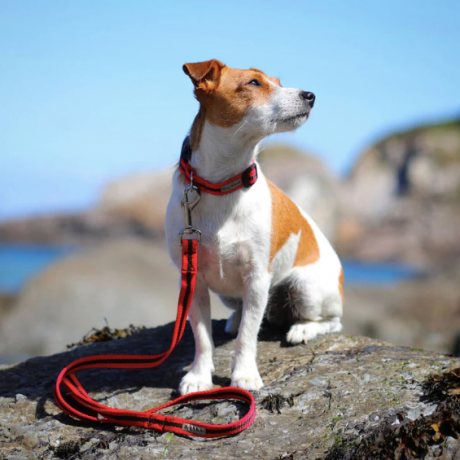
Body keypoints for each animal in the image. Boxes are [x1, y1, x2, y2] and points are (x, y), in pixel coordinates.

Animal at [164, 59, 342, 394]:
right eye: (254, 83)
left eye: (278, 82)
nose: (310, 95)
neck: (223, 184)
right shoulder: (193, 280)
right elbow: (202, 337)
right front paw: (198, 376)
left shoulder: (257, 277)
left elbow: (248, 335)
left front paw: (244, 375)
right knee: (240, 311)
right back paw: (235, 320)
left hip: (304, 288)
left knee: (332, 321)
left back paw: (302, 330)